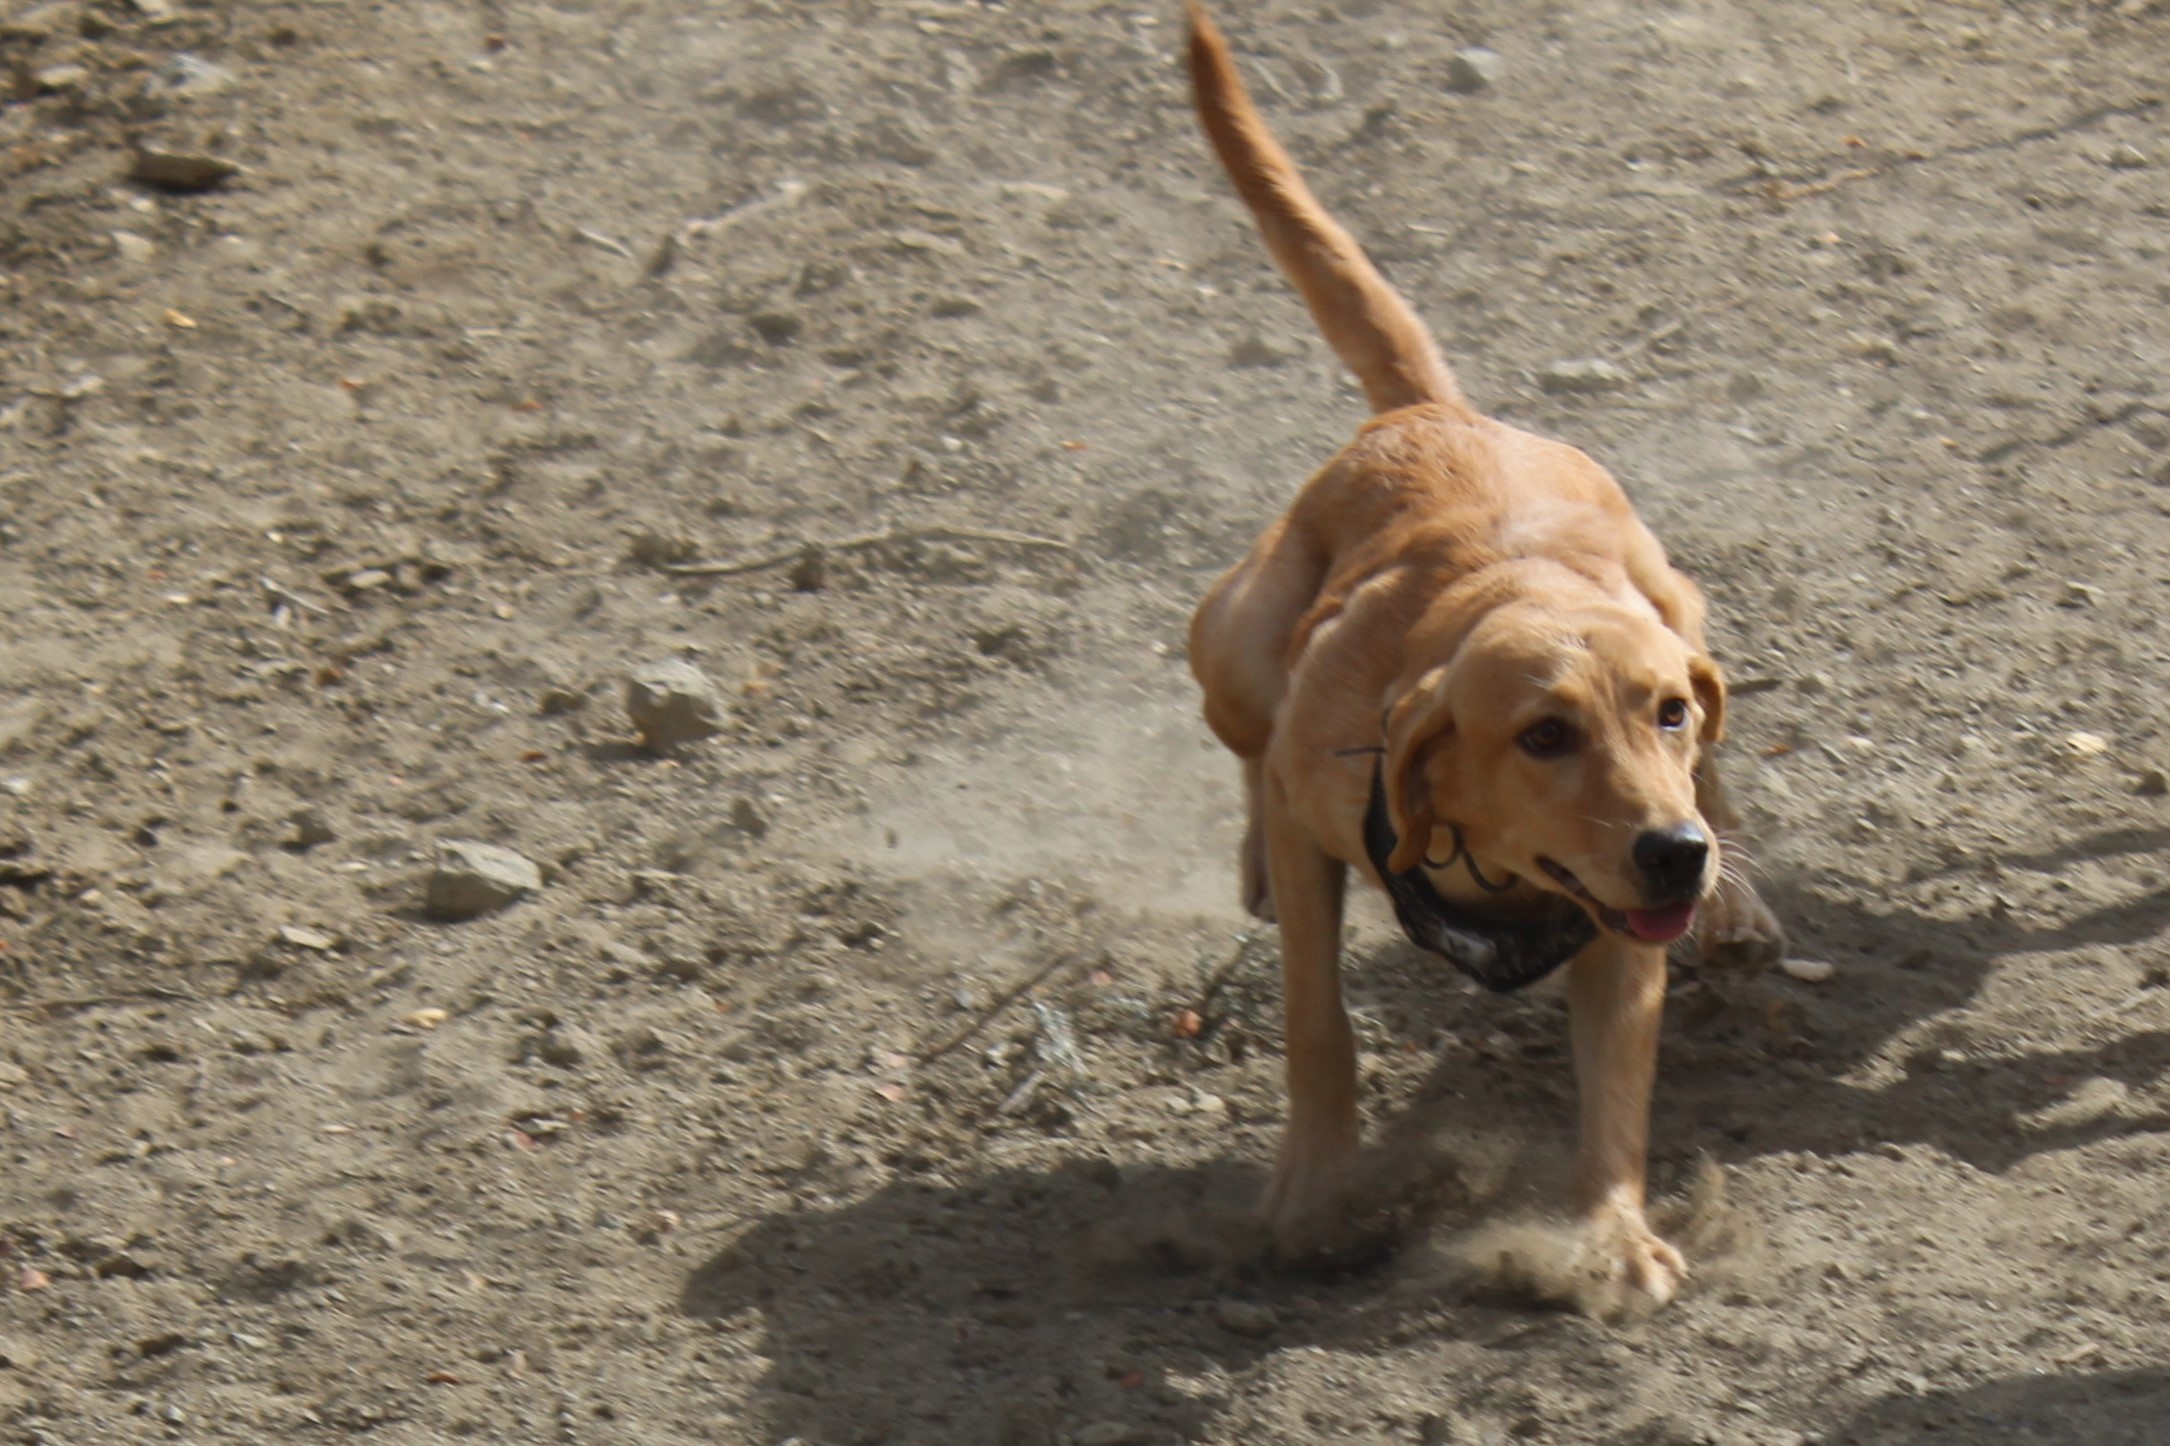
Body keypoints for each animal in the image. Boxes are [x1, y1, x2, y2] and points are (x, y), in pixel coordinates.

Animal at [1189, 2, 1779, 1302]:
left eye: (1665, 712)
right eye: (1543, 733)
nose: (1674, 856)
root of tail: (1429, 415)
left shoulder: (1623, 925)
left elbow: (1619, 1080)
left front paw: (1607, 1235)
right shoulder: (1316, 835)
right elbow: (1316, 1020)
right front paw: (1315, 1194)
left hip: (1686, 603)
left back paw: (1737, 893)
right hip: (1233, 646)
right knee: (1246, 749)